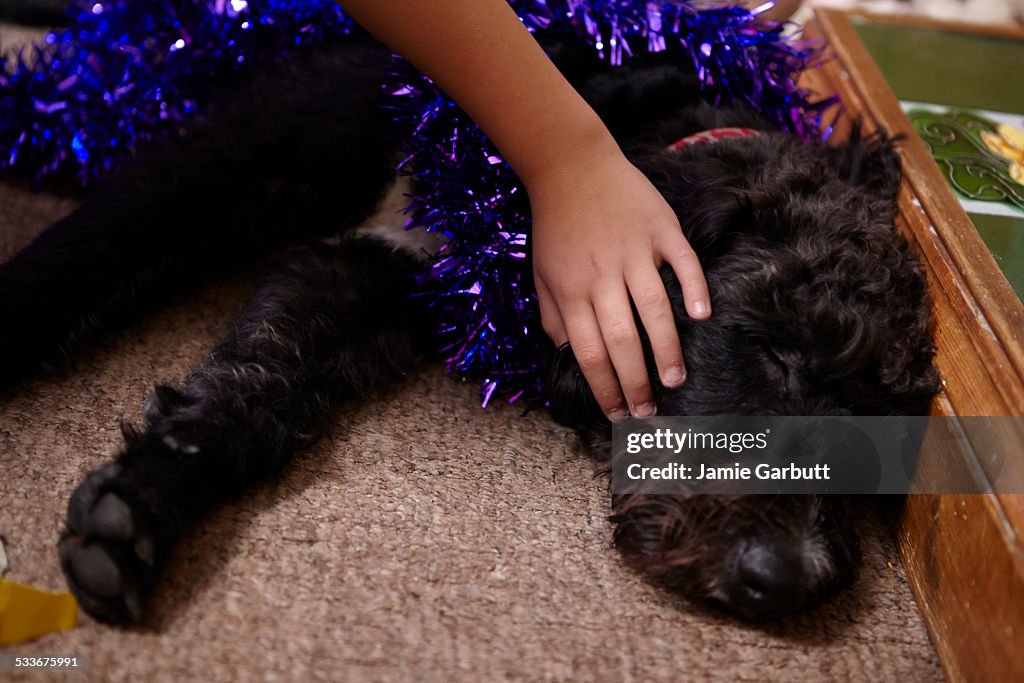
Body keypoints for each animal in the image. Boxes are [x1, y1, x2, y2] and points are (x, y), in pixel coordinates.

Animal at [0, 34, 937, 626]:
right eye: (777, 351)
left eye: (882, 434)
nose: (790, 581)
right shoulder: (242, 156)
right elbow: (70, 264)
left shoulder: (369, 277)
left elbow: (256, 389)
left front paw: (141, 507)